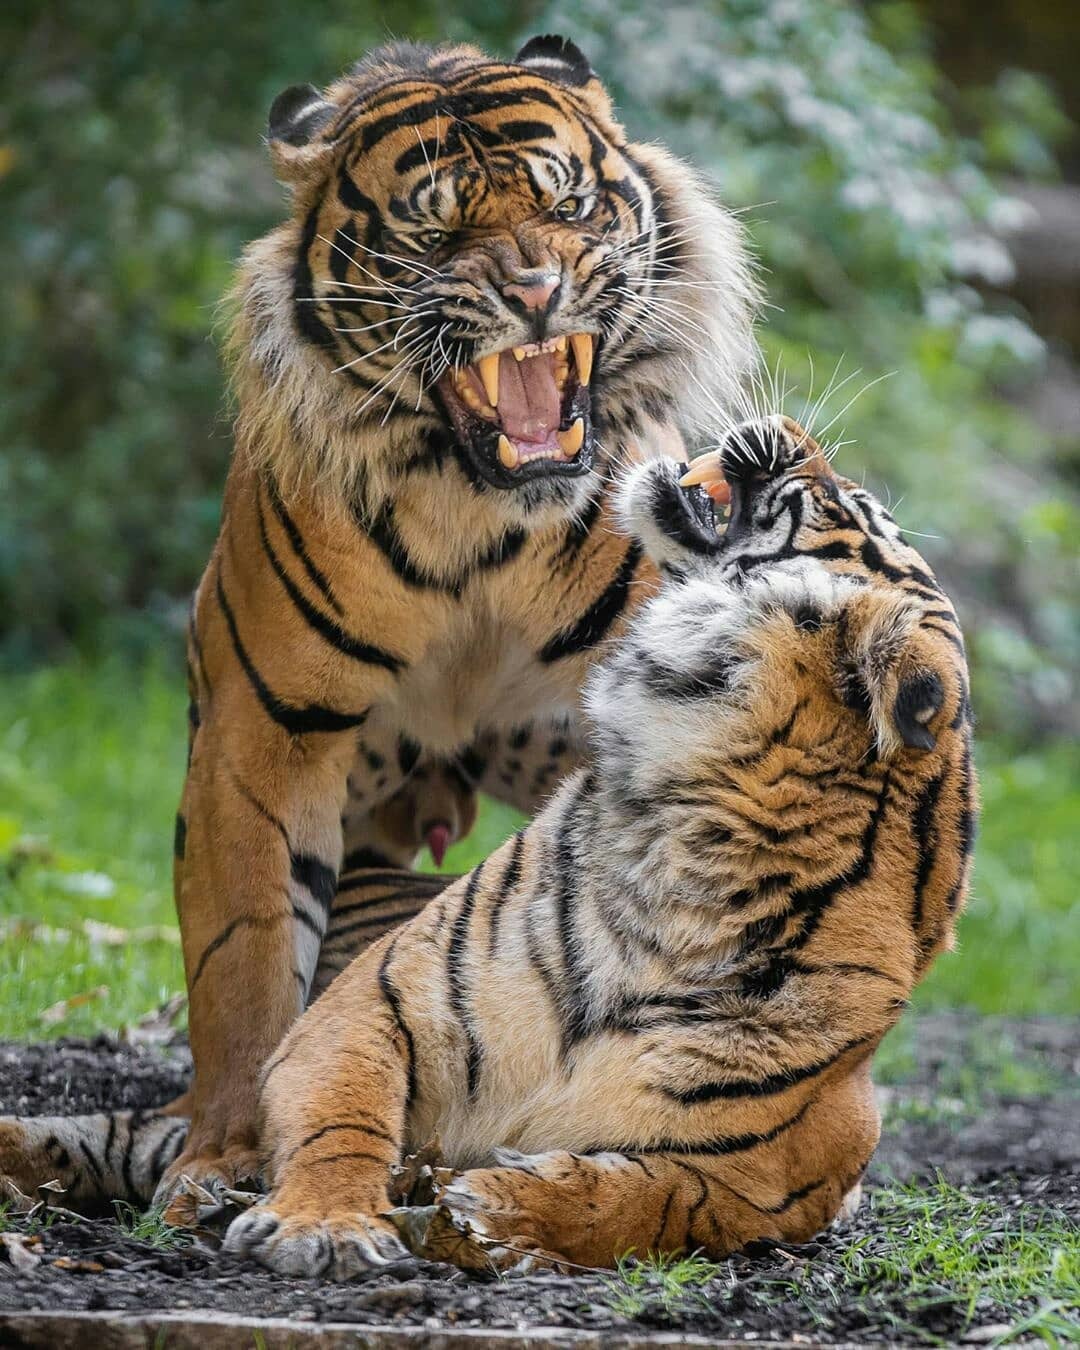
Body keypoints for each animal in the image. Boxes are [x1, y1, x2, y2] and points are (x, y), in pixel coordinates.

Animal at [0, 410, 977, 1263]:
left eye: (851, 506)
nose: (793, 429)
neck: (693, 851)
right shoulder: (368, 1008)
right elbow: (342, 1117)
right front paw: (327, 1224)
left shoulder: (770, 1181)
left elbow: (648, 1201)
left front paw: (486, 1205)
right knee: (127, 1132)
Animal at [166, 31, 761, 1198]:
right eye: (436, 231)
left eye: (568, 205)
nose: (534, 289)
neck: (478, 517)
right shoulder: (262, 738)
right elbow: (244, 952)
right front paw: (222, 1150)